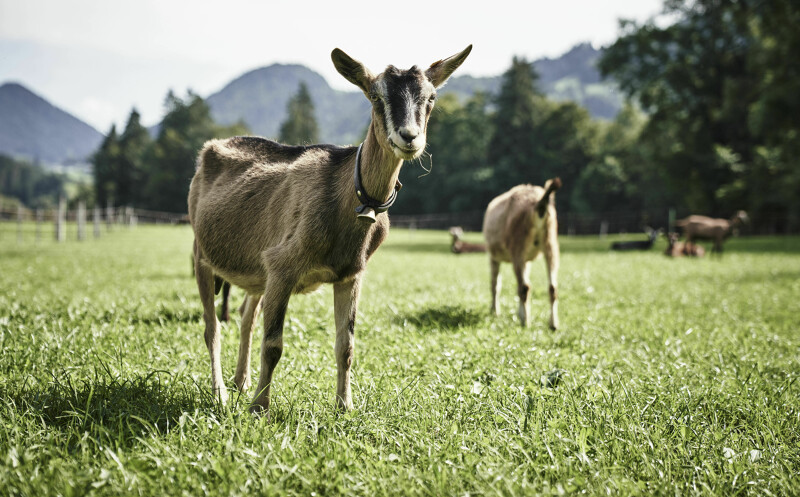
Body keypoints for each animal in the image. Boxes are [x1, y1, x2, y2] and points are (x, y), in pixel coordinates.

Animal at [190, 46, 472, 412]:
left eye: (432, 97)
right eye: (375, 96)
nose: (409, 137)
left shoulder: (350, 273)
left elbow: (346, 345)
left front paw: (345, 406)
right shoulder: (282, 264)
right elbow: (274, 344)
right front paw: (260, 408)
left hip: (255, 271)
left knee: (246, 316)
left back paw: (241, 381)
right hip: (201, 253)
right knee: (212, 328)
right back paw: (221, 393)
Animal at [482, 177, 564, 330]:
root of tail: (539, 205)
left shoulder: (493, 257)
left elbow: (495, 284)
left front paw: (495, 311)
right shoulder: (527, 260)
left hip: (517, 246)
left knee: (524, 287)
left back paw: (525, 322)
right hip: (550, 243)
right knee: (552, 287)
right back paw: (553, 324)